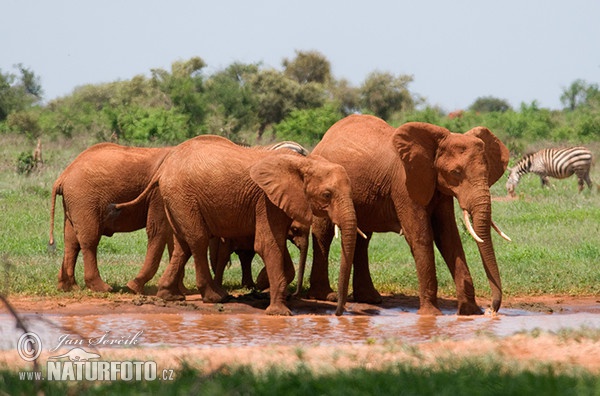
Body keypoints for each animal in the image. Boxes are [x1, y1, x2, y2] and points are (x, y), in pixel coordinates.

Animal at [48, 144, 173, 292]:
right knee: (89, 239)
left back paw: (68, 287)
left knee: (71, 240)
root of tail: (63, 176)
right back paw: (102, 288)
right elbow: (158, 230)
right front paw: (134, 288)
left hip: (74, 202)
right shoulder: (158, 194)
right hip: (84, 200)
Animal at [110, 135, 356, 316]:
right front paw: (280, 313)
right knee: (198, 240)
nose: (339, 313)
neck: (304, 162)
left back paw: (170, 296)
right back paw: (214, 297)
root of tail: (163, 168)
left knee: (183, 245)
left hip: (176, 199)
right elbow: (267, 244)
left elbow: (275, 244)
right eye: (327, 194)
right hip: (182, 196)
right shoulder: (266, 201)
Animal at [310, 114, 510, 316]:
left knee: (363, 238)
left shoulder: (438, 186)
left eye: (487, 172)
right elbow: (421, 236)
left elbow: (448, 237)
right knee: (324, 234)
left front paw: (469, 312)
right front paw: (431, 314)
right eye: (455, 172)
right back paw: (326, 295)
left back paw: (370, 298)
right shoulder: (404, 184)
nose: (491, 309)